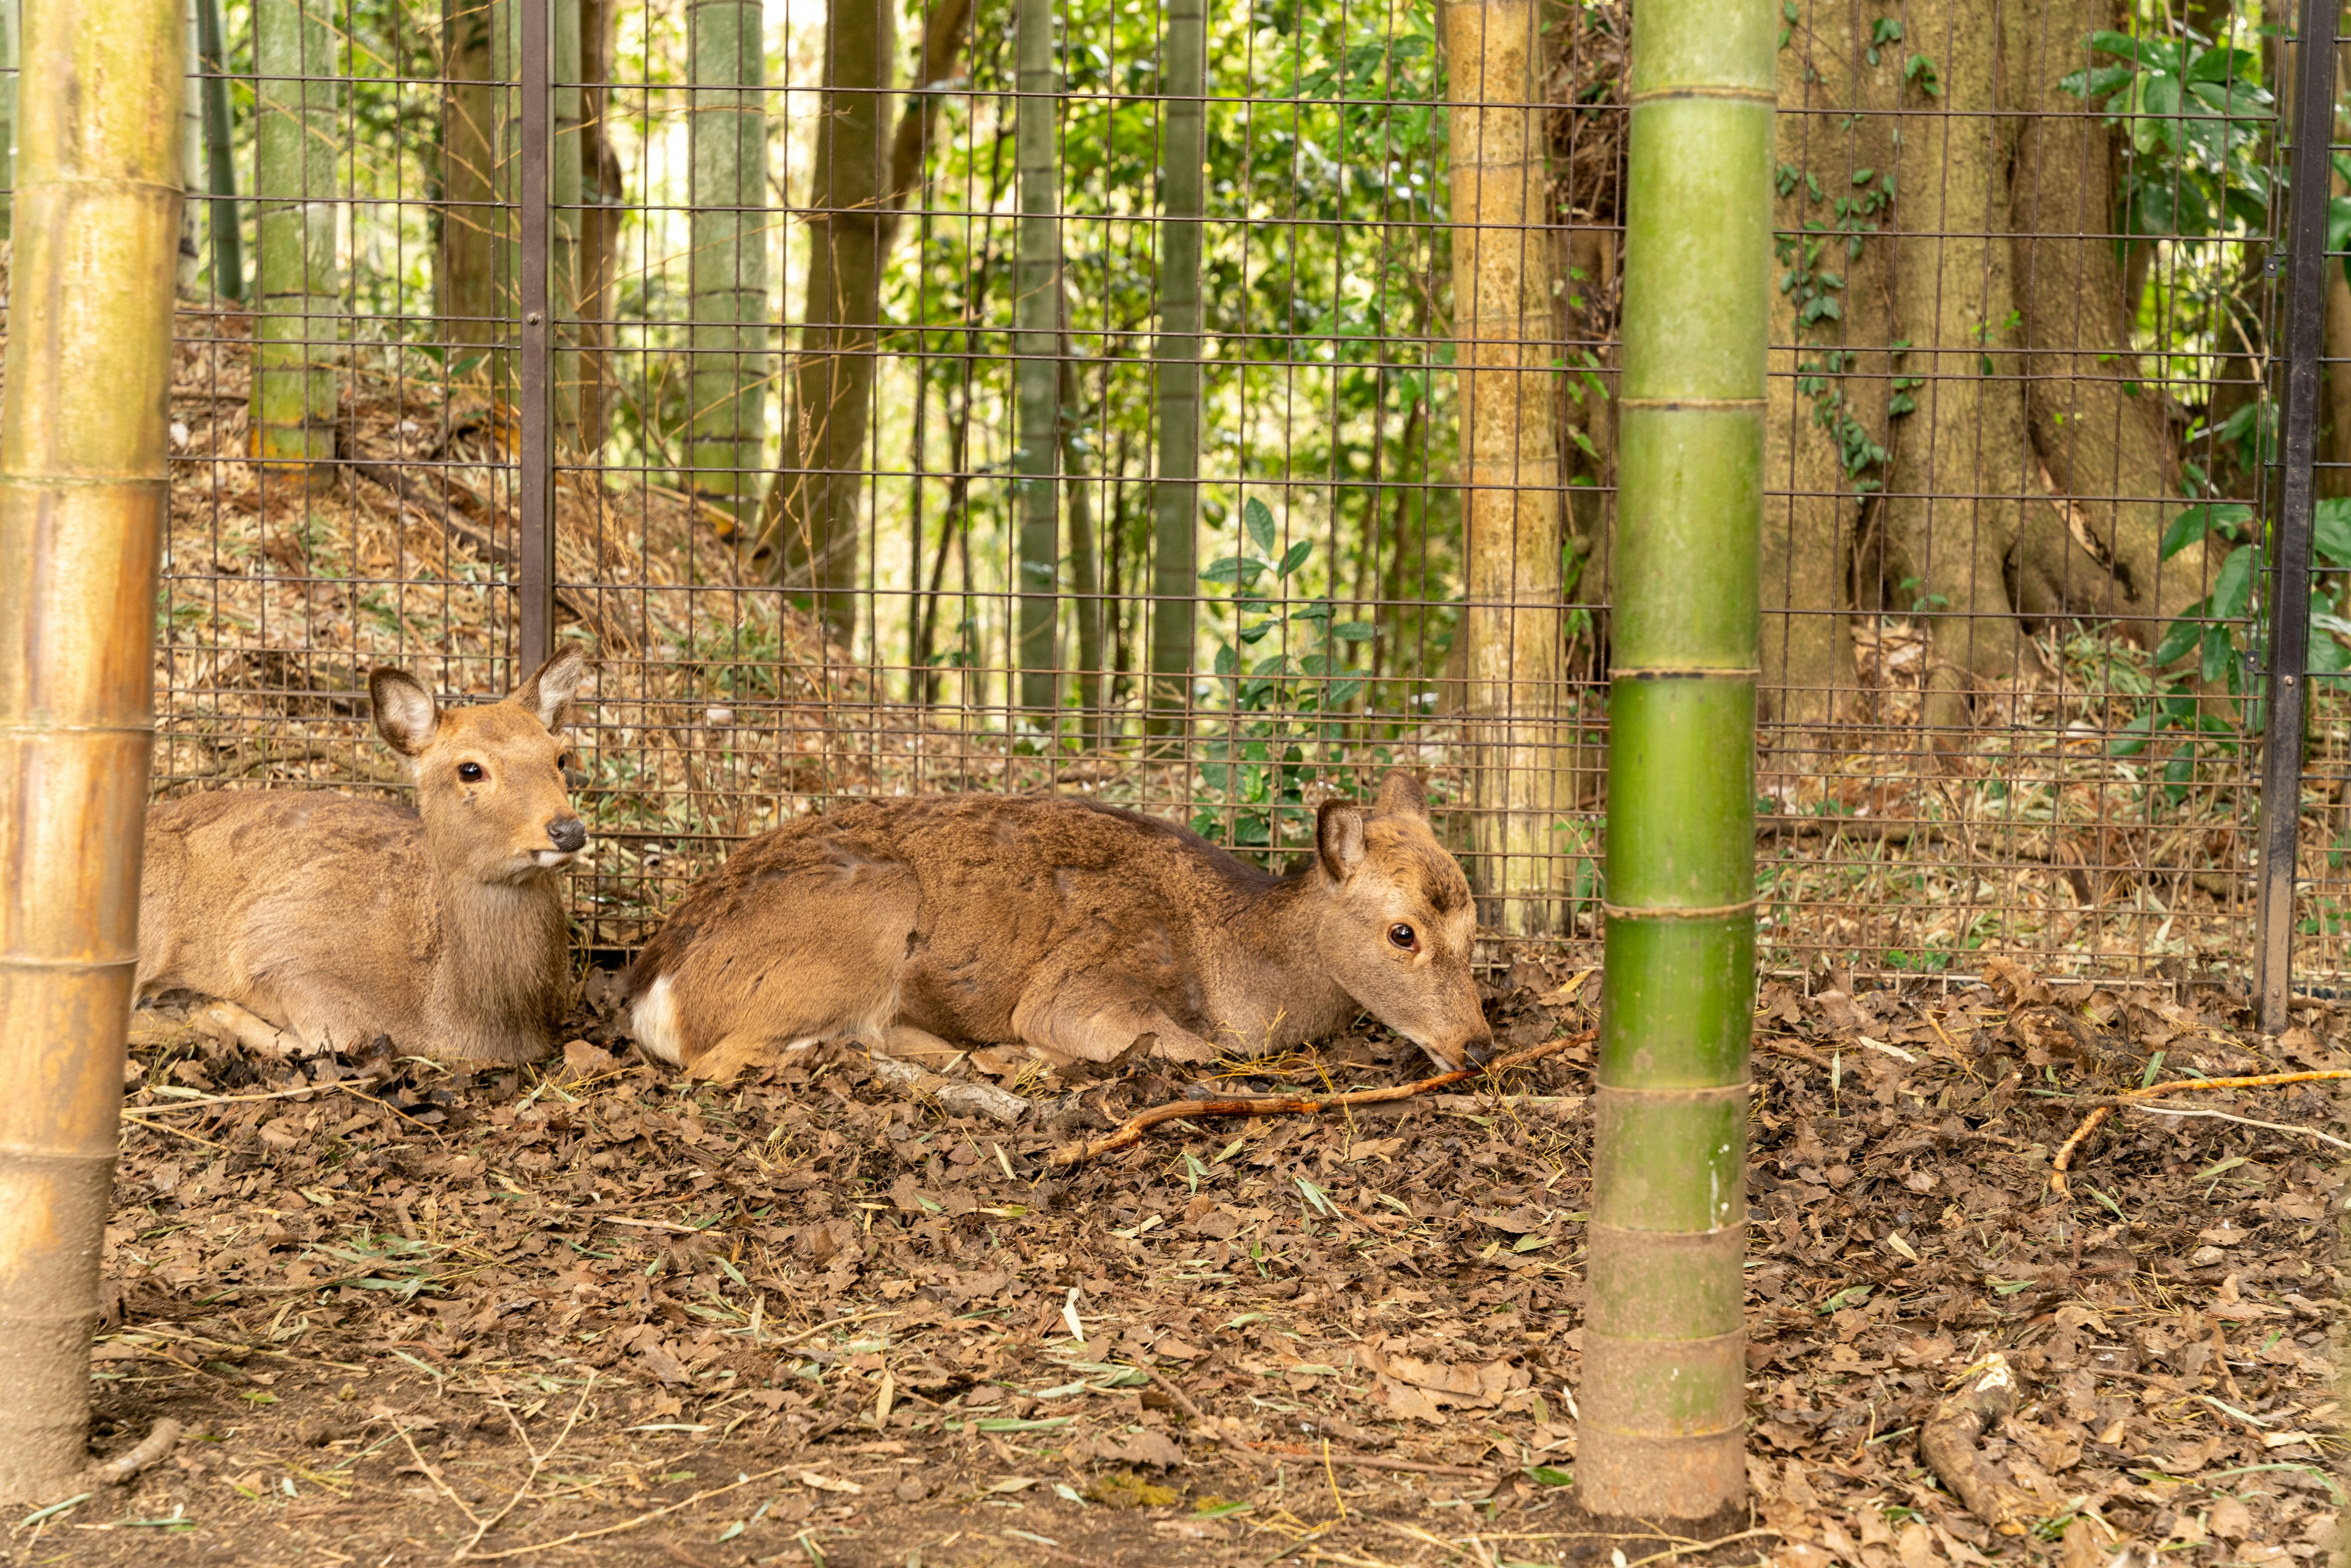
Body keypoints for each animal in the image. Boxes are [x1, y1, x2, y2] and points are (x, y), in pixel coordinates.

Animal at [136, 644, 592, 1062]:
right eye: (470, 769)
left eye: (560, 758)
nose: (568, 830)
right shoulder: (271, 946)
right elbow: (344, 1037)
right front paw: (212, 1011)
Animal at [616, 771, 1476, 1081]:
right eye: (1403, 931)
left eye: (1476, 930)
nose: (1479, 1045)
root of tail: (653, 991)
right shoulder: (1081, 986)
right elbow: (1191, 1048)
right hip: (870, 914)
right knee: (722, 1061)